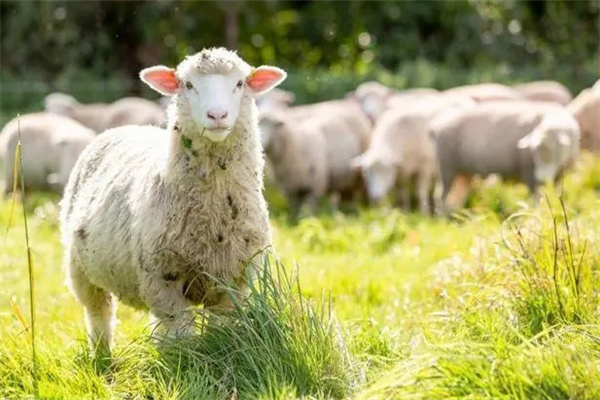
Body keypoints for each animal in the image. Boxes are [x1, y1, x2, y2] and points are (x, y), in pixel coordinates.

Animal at [61, 47, 286, 354]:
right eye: (188, 85)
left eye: (239, 83)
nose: (217, 115)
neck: (211, 216)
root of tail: (124, 127)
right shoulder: (162, 278)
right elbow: (183, 333)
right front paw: (184, 360)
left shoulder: (234, 282)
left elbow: (221, 329)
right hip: (80, 267)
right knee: (99, 314)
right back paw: (102, 356)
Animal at [434, 101, 580, 212]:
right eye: (534, 153)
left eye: (555, 151)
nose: (542, 178)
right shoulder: (528, 171)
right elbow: (535, 197)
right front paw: (537, 211)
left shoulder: (559, 174)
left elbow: (556, 193)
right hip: (446, 167)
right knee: (441, 196)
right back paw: (443, 217)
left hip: (463, 173)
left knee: (456, 197)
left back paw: (455, 215)